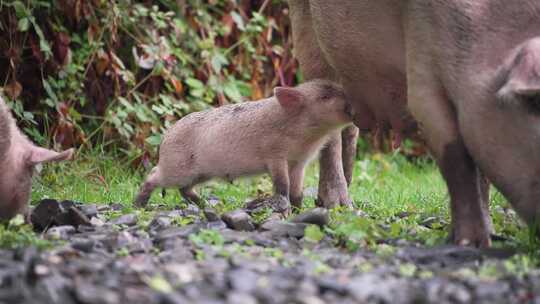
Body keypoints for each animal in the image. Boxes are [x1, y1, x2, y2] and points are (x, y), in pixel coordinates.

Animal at [292, 0, 540, 247]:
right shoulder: (423, 67)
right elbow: (456, 157)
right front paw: (469, 243)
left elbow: (480, 172)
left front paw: (490, 235)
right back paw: (341, 207)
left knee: (349, 126)